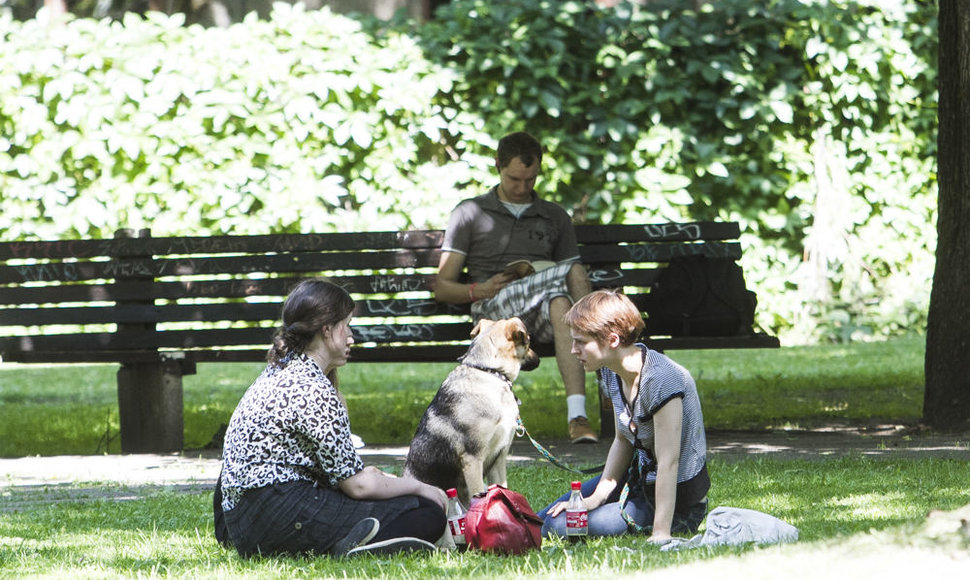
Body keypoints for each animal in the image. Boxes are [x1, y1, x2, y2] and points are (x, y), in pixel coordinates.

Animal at [400, 318, 536, 508]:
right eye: (528, 341)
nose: (538, 360)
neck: (489, 371)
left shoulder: (499, 457)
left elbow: (502, 489)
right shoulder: (473, 459)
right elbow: (479, 495)